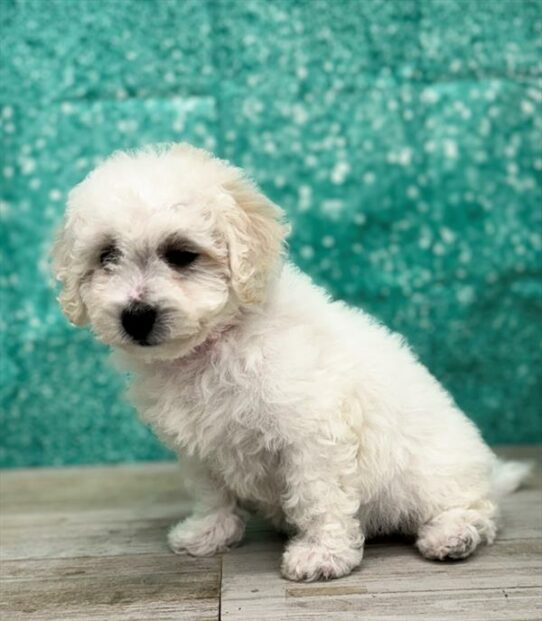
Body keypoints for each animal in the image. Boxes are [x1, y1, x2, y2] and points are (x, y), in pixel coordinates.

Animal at [54, 143, 532, 580]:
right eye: (107, 255)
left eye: (181, 254)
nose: (136, 316)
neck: (213, 346)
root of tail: (487, 470)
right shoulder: (198, 447)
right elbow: (211, 492)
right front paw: (208, 532)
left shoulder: (313, 433)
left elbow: (319, 495)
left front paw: (323, 555)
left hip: (434, 474)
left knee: (476, 509)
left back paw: (453, 535)